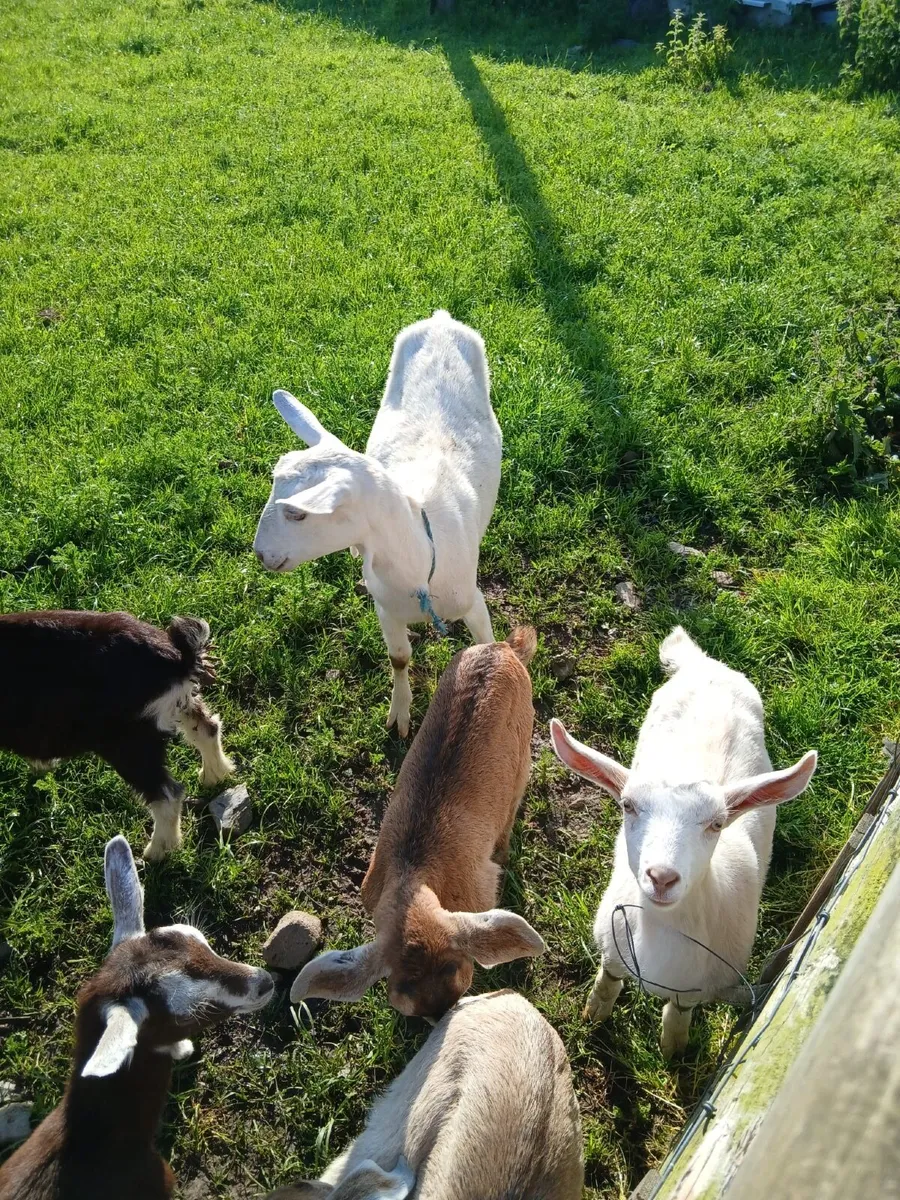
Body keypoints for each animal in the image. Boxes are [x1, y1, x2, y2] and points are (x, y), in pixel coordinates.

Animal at [0, 609, 234, 860]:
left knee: (166, 795)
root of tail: (179, 659)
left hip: (127, 744)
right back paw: (213, 776)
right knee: (208, 729)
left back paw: (155, 852)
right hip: (181, 706)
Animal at [253, 309, 502, 738]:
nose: (260, 553)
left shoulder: (472, 599)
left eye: (297, 512)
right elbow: (399, 658)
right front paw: (399, 714)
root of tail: (440, 319)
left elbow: (484, 644)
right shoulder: (386, 608)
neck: (421, 558)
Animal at [291, 628, 545, 1021]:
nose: (442, 1017)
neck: (414, 873)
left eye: (460, 976)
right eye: (408, 1000)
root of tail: (504, 648)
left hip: (522, 755)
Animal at [551, 626, 818, 1058]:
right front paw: (593, 1014)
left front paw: (672, 1050)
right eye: (627, 806)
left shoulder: (695, 986)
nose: (661, 877)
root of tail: (704, 663)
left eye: (716, 823)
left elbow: (678, 1015)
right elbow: (607, 982)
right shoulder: (612, 947)